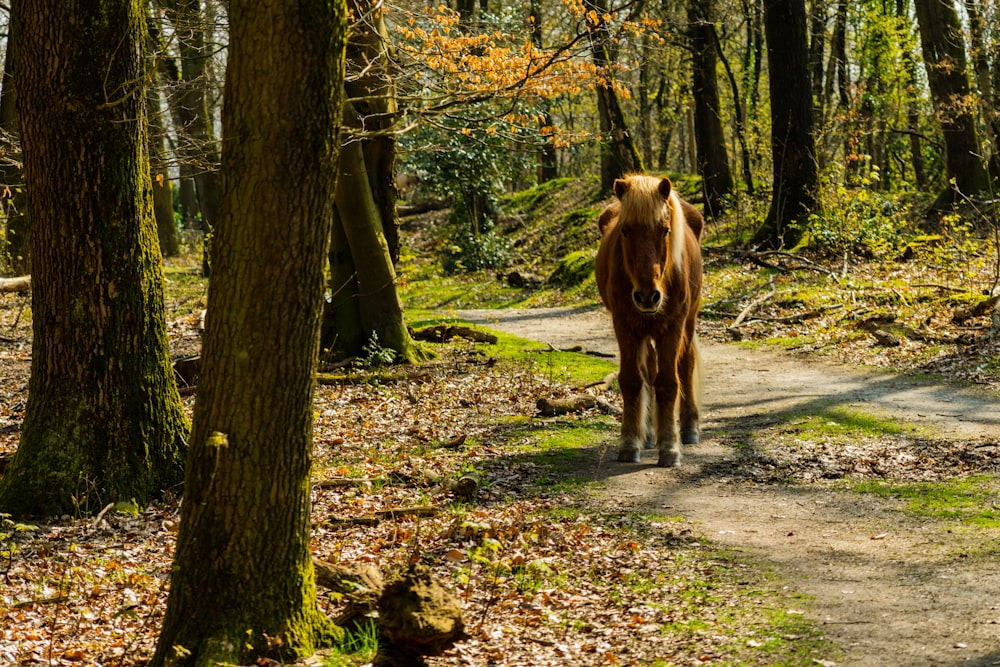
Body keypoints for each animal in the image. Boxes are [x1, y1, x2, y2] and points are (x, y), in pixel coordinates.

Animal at [592, 175, 704, 468]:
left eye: (665, 230)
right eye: (625, 231)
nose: (646, 296)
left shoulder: (673, 326)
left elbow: (668, 383)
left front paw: (671, 448)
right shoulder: (625, 326)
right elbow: (632, 380)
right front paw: (630, 443)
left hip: (688, 322)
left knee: (685, 365)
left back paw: (689, 428)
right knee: (650, 369)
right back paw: (652, 433)